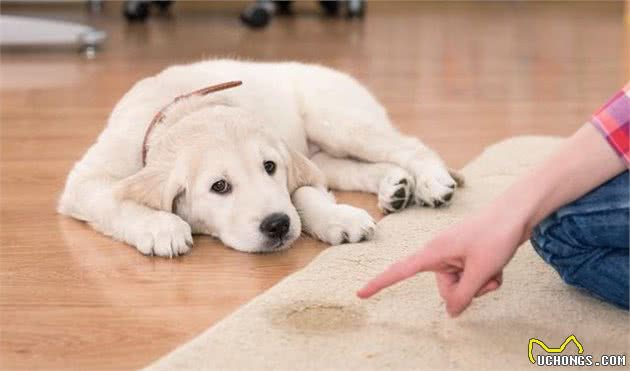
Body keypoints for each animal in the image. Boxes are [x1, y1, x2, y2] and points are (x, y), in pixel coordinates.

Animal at [59, 59, 464, 258]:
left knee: (410, 145)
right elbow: (115, 200)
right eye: (219, 186)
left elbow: (303, 193)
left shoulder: (293, 164)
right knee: (350, 168)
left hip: (338, 122)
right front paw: (160, 227)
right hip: (325, 152)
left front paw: (337, 218)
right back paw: (395, 186)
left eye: (270, 167)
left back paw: (431, 182)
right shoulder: (85, 181)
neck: (184, 109)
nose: (277, 226)